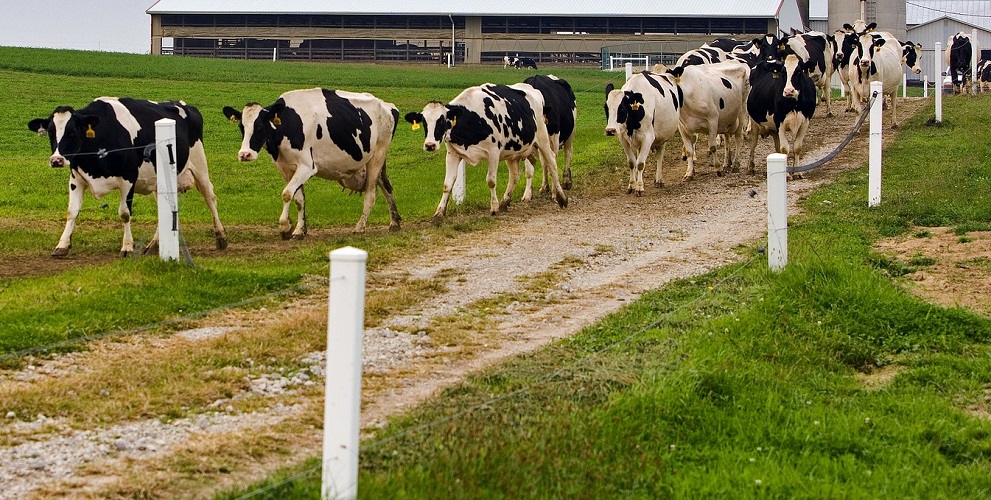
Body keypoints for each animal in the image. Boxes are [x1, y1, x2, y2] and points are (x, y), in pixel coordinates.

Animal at [27, 97, 231, 258]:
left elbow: (124, 213)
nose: (56, 160)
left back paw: (221, 236)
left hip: (199, 163)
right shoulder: (76, 180)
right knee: (166, 206)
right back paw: (154, 245)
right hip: (160, 180)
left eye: (72, 132)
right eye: (51, 132)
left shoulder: (128, 179)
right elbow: (72, 212)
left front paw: (126, 247)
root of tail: (182, 104)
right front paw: (62, 245)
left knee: (209, 197)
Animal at [223, 88, 402, 238]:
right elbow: (298, 198)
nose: (245, 154)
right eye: (241, 127)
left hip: (377, 157)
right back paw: (394, 222)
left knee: (371, 194)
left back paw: (360, 227)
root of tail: (388, 106)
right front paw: (299, 230)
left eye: (260, 126)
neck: (289, 124)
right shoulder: (286, 168)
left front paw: (285, 227)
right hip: (373, 161)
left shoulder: (307, 167)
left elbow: (287, 193)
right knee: (387, 186)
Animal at [404, 84, 572, 221]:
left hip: (543, 139)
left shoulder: (493, 152)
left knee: (551, 162)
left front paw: (493, 207)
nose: (430, 145)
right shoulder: (453, 154)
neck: (471, 117)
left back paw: (561, 198)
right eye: (424, 122)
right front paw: (439, 212)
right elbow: (447, 184)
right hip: (512, 151)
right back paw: (505, 201)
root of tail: (533, 90)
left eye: (442, 121)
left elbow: (491, 181)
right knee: (515, 174)